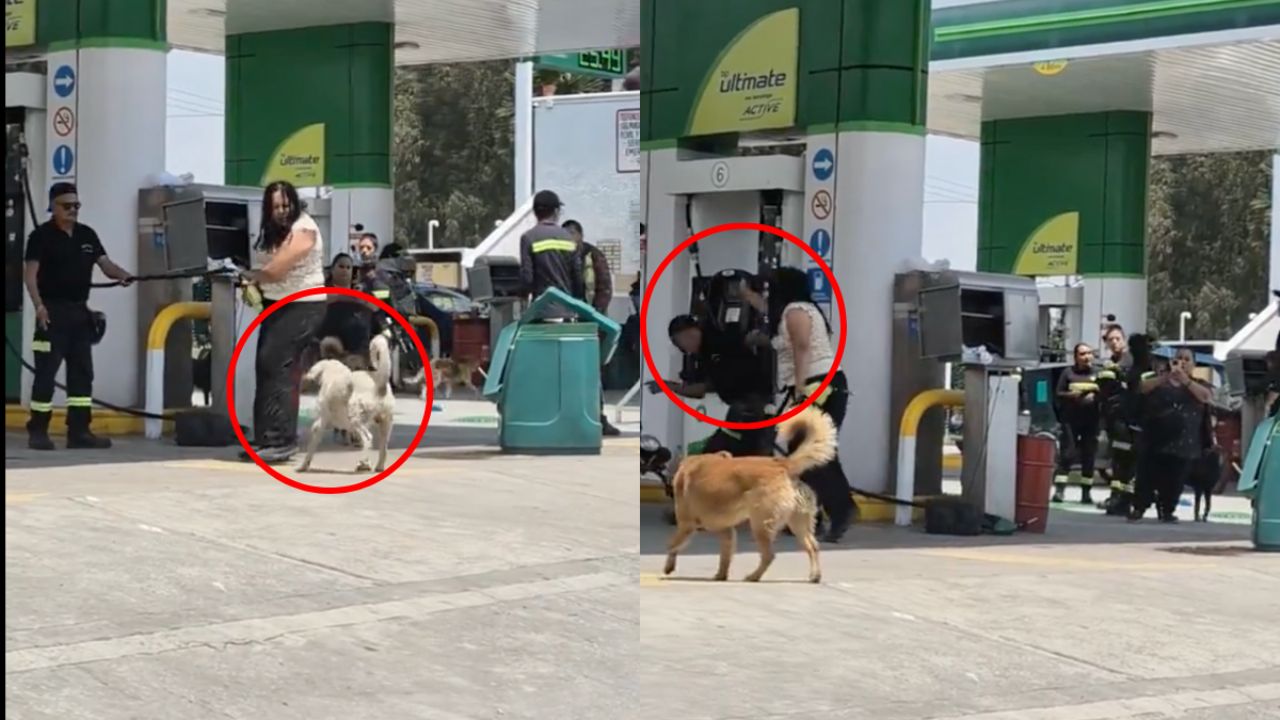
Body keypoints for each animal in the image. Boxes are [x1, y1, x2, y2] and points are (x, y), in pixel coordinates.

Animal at [660, 407, 839, 579]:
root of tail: (782, 464)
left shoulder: (686, 524)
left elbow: (672, 545)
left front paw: (668, 567)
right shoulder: (726, 530)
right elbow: (725, 556)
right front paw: (721, 575)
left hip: (760, 524)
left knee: (769, 556)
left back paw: (753, 576)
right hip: (797, 523)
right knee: (813, 547)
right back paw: (815, 575)